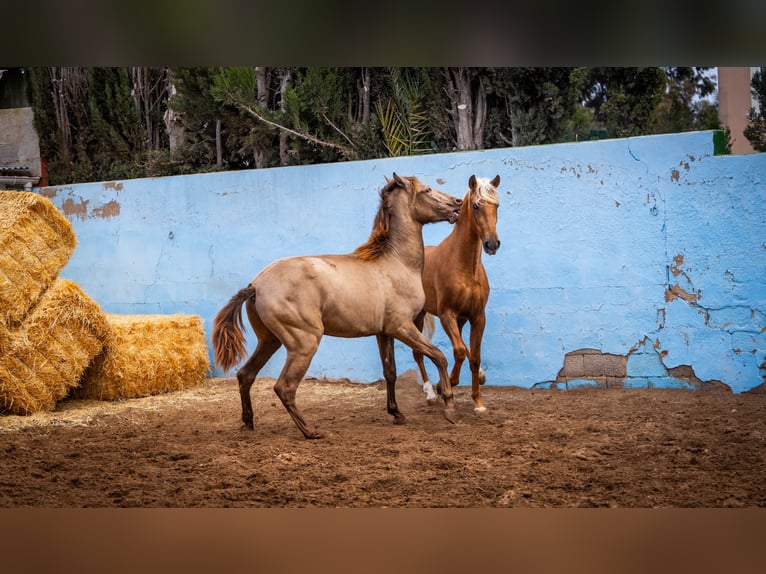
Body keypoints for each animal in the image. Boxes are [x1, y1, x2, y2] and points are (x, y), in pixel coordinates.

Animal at [212, 173, 462, 438]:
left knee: (245, 375)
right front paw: (449, 408)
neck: (396, 263)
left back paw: (248, 423)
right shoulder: (402, 327)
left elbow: (390, 372)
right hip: (304, 343)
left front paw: (397, 414)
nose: (457, 202)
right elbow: (439, 356)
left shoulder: (384, 333)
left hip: (270, 340)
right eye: (426, 190)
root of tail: (256, 285)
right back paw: (310, 431)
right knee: (285, 387)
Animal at [414, 176, 504, 414]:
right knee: (418, 352)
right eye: (476, 205)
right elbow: (460, 352)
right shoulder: (447, 315)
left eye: (497, 206)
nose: (492, 244)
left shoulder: (477, 317)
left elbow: (474, 356)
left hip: (457, 319)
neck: (465, 267)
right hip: (416, 316)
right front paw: (444, 385)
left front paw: (479, 403)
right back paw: (430, 392)